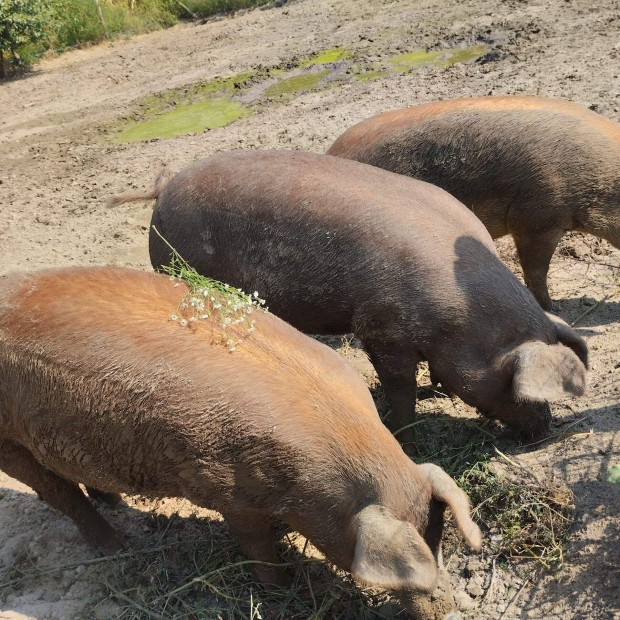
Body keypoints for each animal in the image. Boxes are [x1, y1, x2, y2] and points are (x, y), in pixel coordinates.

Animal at [0, 266, 480, 620]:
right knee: (59, 494)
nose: (445, 608)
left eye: (439, 540)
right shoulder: (233, 494)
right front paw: (284, 589)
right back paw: (118, 547)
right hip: (8, 443)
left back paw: (115, 503)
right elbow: (257, 547)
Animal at [109, 150, 588, 446]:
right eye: (515, 385)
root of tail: (165, 189)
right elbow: (399, 387)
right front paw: (409, 438)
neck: (463, 320)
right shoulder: (380, 329)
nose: (545, 428)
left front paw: (437, 390)